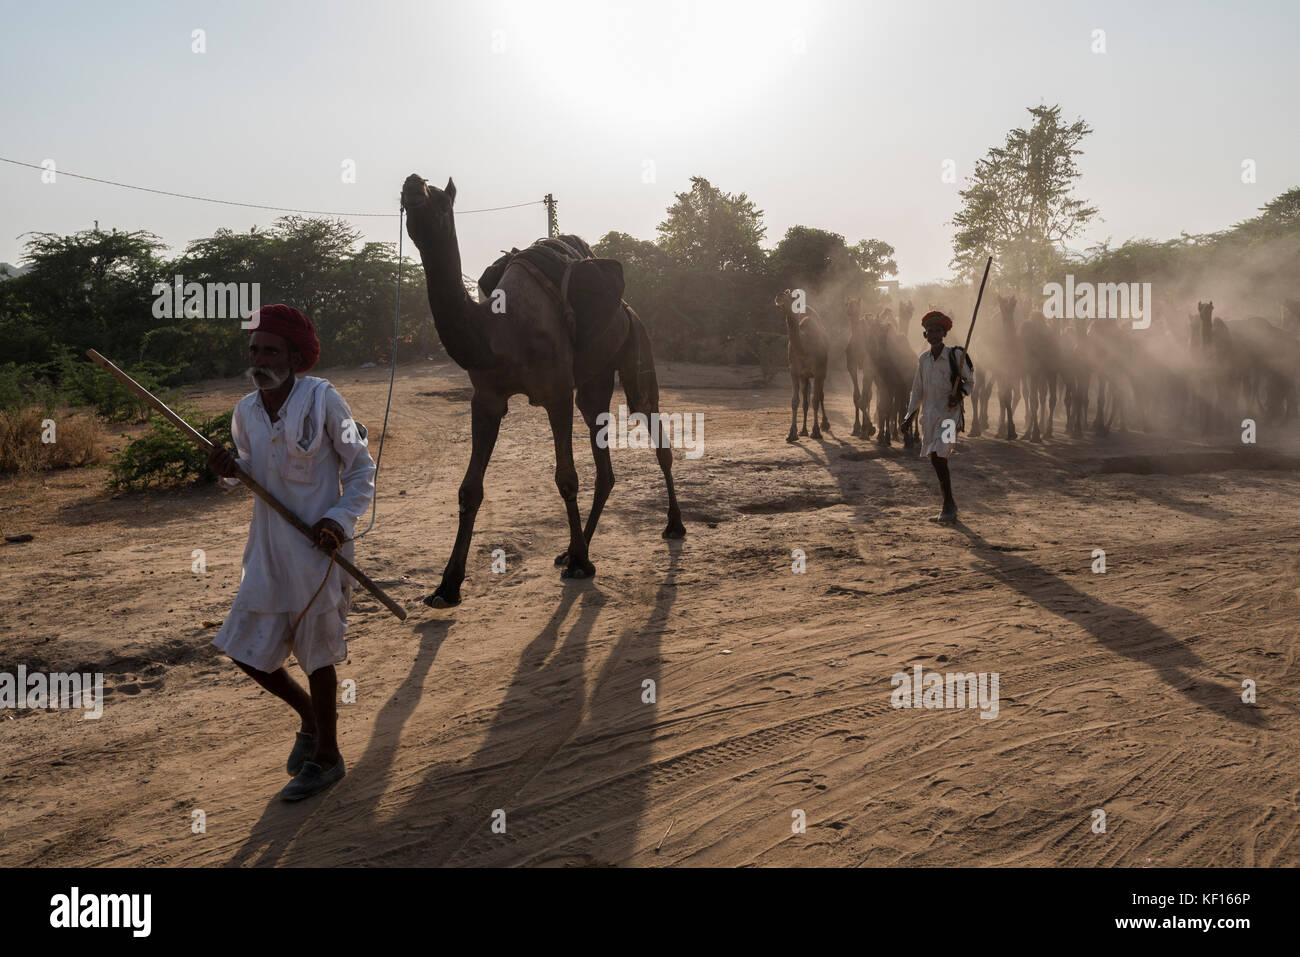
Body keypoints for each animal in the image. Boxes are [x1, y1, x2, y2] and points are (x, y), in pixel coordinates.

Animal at [400, 172, 686, 608]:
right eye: (406, 196)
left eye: (442, 201)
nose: (413, 183)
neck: (498, 331)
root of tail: (626, 308)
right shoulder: (486, 399)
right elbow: (469, 489)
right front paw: (446, 586)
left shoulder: (556, 393)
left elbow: (566, 478)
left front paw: (582, 566)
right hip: (593, 379)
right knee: (603, 456)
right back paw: (572, 548)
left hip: (637, 344)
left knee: (652, 426)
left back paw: (672, 526)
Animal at [774, 289, 826, 442]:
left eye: (790, 297)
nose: (779, 296)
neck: (804, 347)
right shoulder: (794, 371)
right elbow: (795, 401)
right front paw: (792, 433)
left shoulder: (819, 371)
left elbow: (815, 400)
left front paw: (816, 431)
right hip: (805, 377)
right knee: (805, 401)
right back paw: (803, 430)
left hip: (823, 371)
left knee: (820, 396)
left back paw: (825, 425)